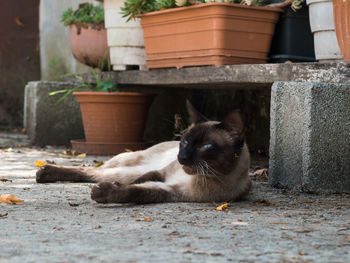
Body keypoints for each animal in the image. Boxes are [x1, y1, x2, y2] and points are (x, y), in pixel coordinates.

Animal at [37, 101, 250, 204]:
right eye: (185, 141)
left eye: (205, 147)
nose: (182, 158)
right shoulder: (161, 173)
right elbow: (139, 182)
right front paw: (108, 189)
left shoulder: (170, 191)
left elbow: (135, 191)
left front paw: (105, 192)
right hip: (126, 166)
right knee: (91, 170)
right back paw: (44, 172)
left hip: (124, 170)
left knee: (93, 174)